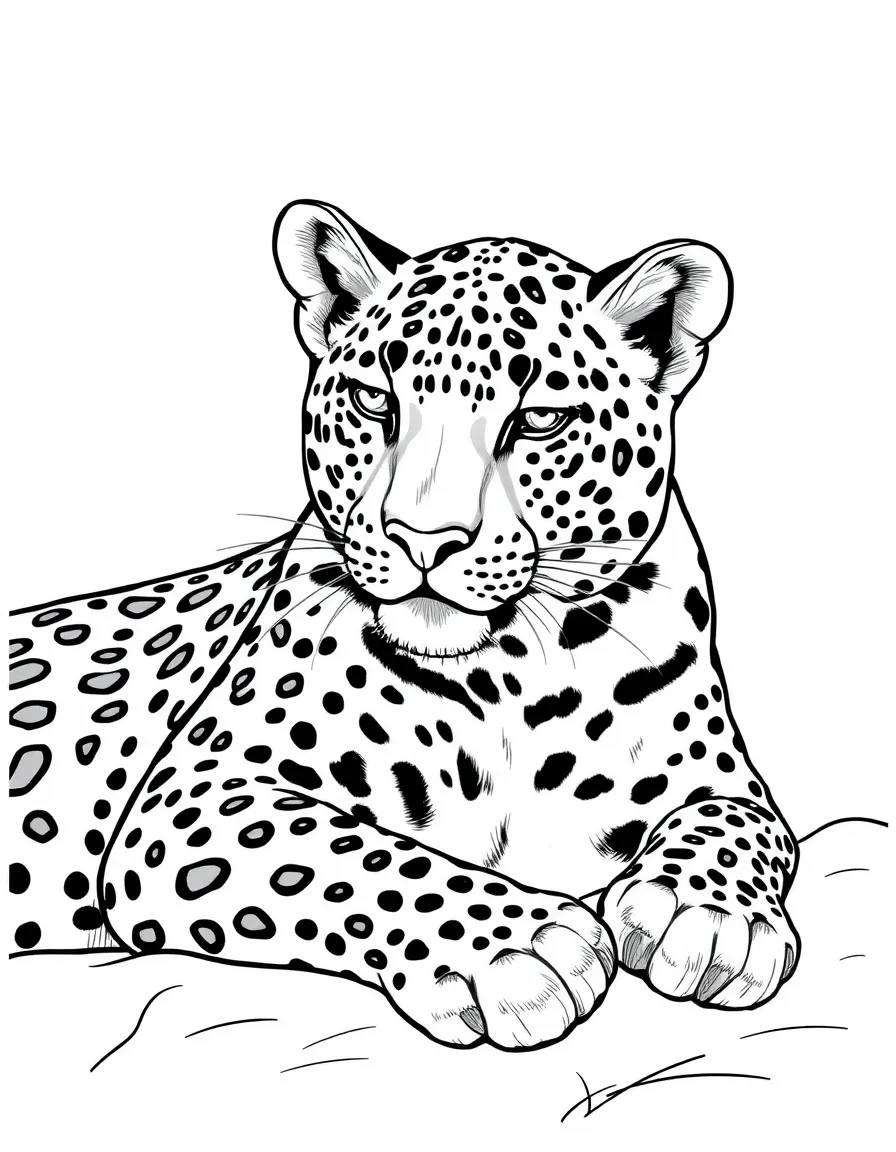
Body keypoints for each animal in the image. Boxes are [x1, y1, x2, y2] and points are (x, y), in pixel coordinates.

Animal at [9, 200, 799, 1051]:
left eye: (540, 420)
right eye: (374, 402)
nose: (423, 538)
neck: (513, 679)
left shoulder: (721, 777)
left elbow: (734, 822)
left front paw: (709, 915)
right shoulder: (197, 795)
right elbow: (355, 858)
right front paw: (521, 948)